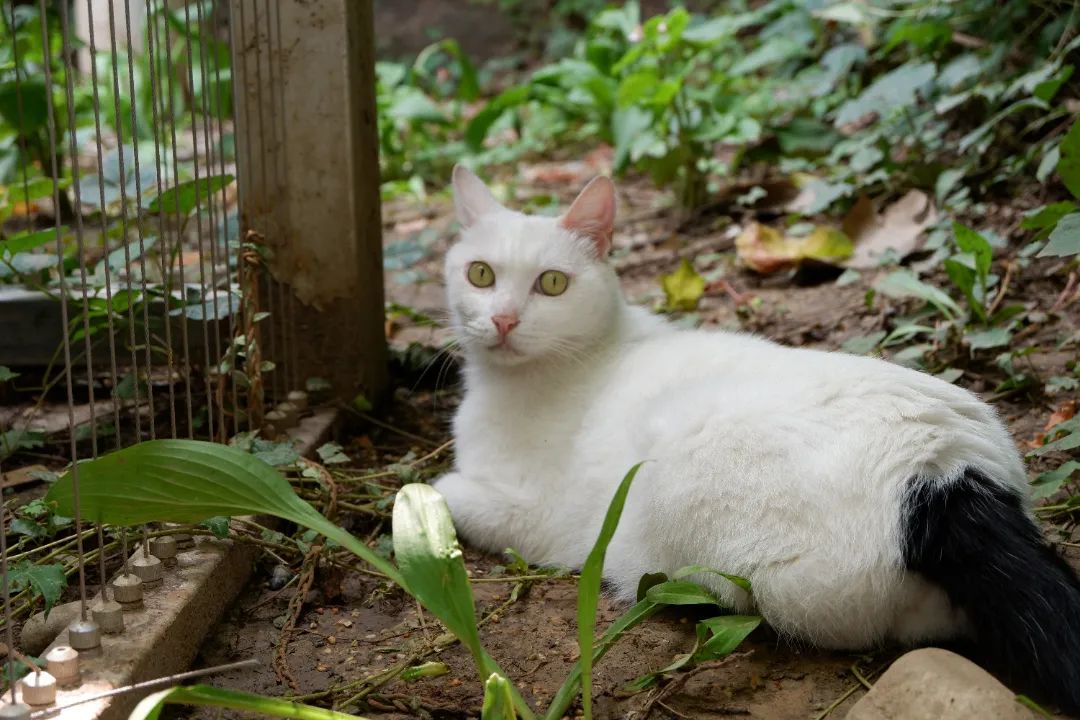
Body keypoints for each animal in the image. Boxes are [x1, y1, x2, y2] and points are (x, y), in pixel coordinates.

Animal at [432, 162, 1080, 708]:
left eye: (552, 284)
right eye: (480, 274)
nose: (504, 319)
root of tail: (945, 469)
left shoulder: (537, 515)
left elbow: (441, 489)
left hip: (682, 485)